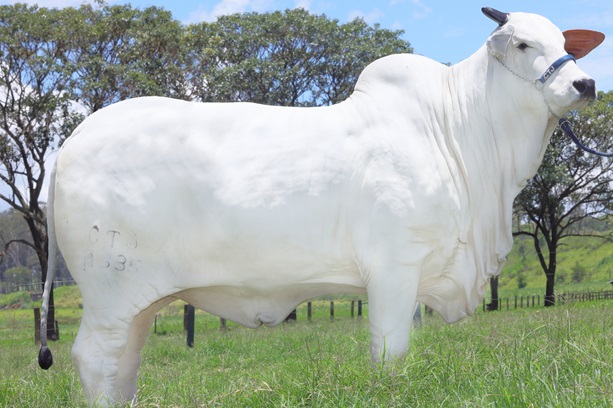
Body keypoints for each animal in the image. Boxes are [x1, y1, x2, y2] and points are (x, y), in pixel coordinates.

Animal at [38, 7, 604, 406]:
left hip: (137, 302)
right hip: (110, 292)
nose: (585, 83)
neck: (459, 132)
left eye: (565, 44)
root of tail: (72, 141)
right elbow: (390, 353)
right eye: (523, 43)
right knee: (95, 360)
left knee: (124, 365)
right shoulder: (394, 268)